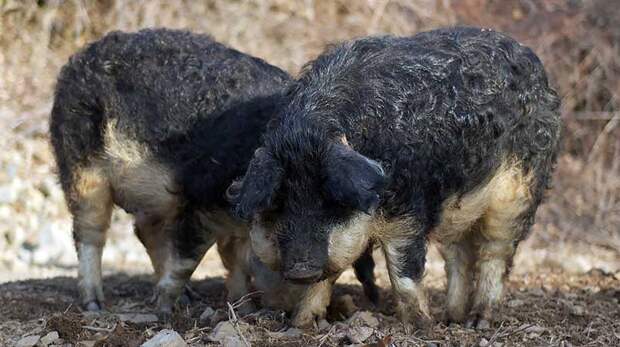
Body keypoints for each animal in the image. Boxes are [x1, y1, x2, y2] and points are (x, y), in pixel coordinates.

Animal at [228, 27, 560, 328]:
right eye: (278, 202)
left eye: (329, 200)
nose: (300, 269)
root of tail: (531, 58)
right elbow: (327, 275)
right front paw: (300, 324)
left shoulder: (408, 208)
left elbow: (403, 273)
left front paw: (419, 327)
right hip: (457, 205)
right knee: (458, 255)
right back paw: (451, 319)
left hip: (519, 190)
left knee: (496, 252)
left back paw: (477, 322)